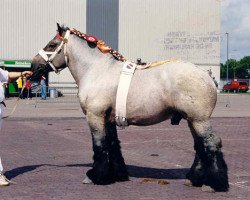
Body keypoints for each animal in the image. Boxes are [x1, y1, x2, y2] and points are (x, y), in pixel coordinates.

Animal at [30, 23, 229, 192]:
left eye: (52, 45)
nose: (33, 65)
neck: (97, 70)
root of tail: (207, 75)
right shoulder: (108, 119)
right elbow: (112, 145)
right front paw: (117, 175)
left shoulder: (95, 116)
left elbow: (99, 145)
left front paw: (97, 177)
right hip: (191, 120)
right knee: (200, 146)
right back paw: (194, 179)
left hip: (199, 120)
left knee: (211, 144)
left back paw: (215, 184)